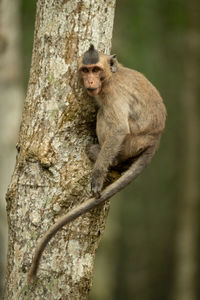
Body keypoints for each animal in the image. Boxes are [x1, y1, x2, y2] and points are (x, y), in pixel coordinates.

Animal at [27, 44, 166, 282]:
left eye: (95, 70)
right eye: (85, 70)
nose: (90, 81)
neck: (111, 77)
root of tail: (154, 141)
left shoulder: (112, 94)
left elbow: (118, 128)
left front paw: (98, 175)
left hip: (131, 143)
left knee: (105, 116)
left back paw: (100, 154)